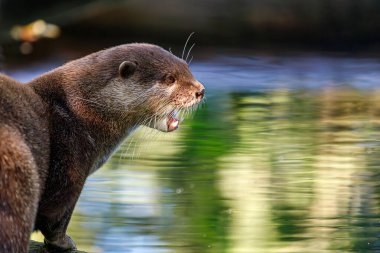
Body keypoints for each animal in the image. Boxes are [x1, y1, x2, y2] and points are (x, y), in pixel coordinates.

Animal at [0, 42, 205, 252]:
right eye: (169, 78)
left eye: (187, 67)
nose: (200, 91)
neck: (80, 112)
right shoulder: (69, 163)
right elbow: (55, 215)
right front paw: (64, 242)